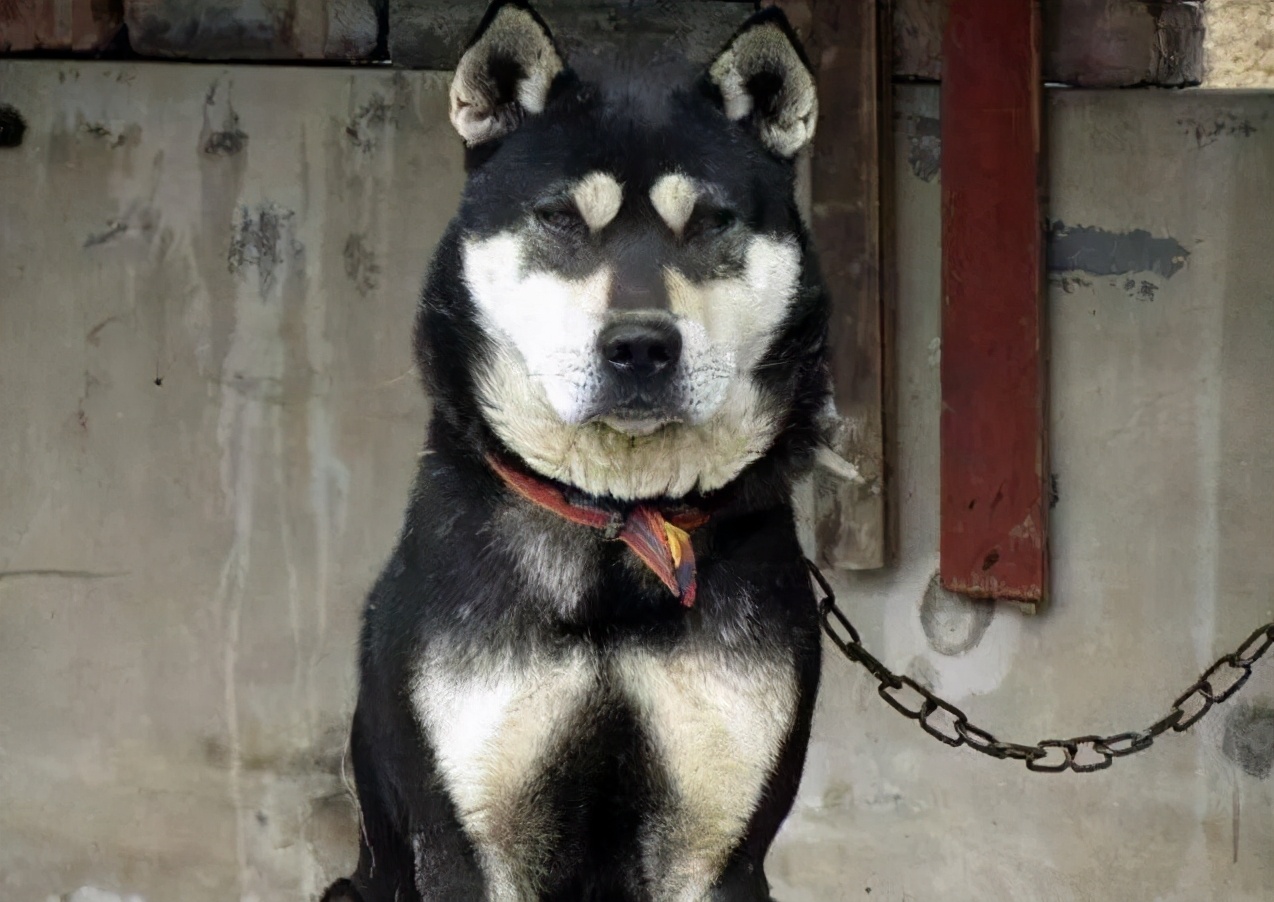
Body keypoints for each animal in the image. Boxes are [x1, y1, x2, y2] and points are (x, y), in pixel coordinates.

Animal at [323, 3, 830, 896]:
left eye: (710, 222)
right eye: (560, 218)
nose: (640, 348)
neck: (622, 518)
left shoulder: (720, 847)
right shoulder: (466, 839)